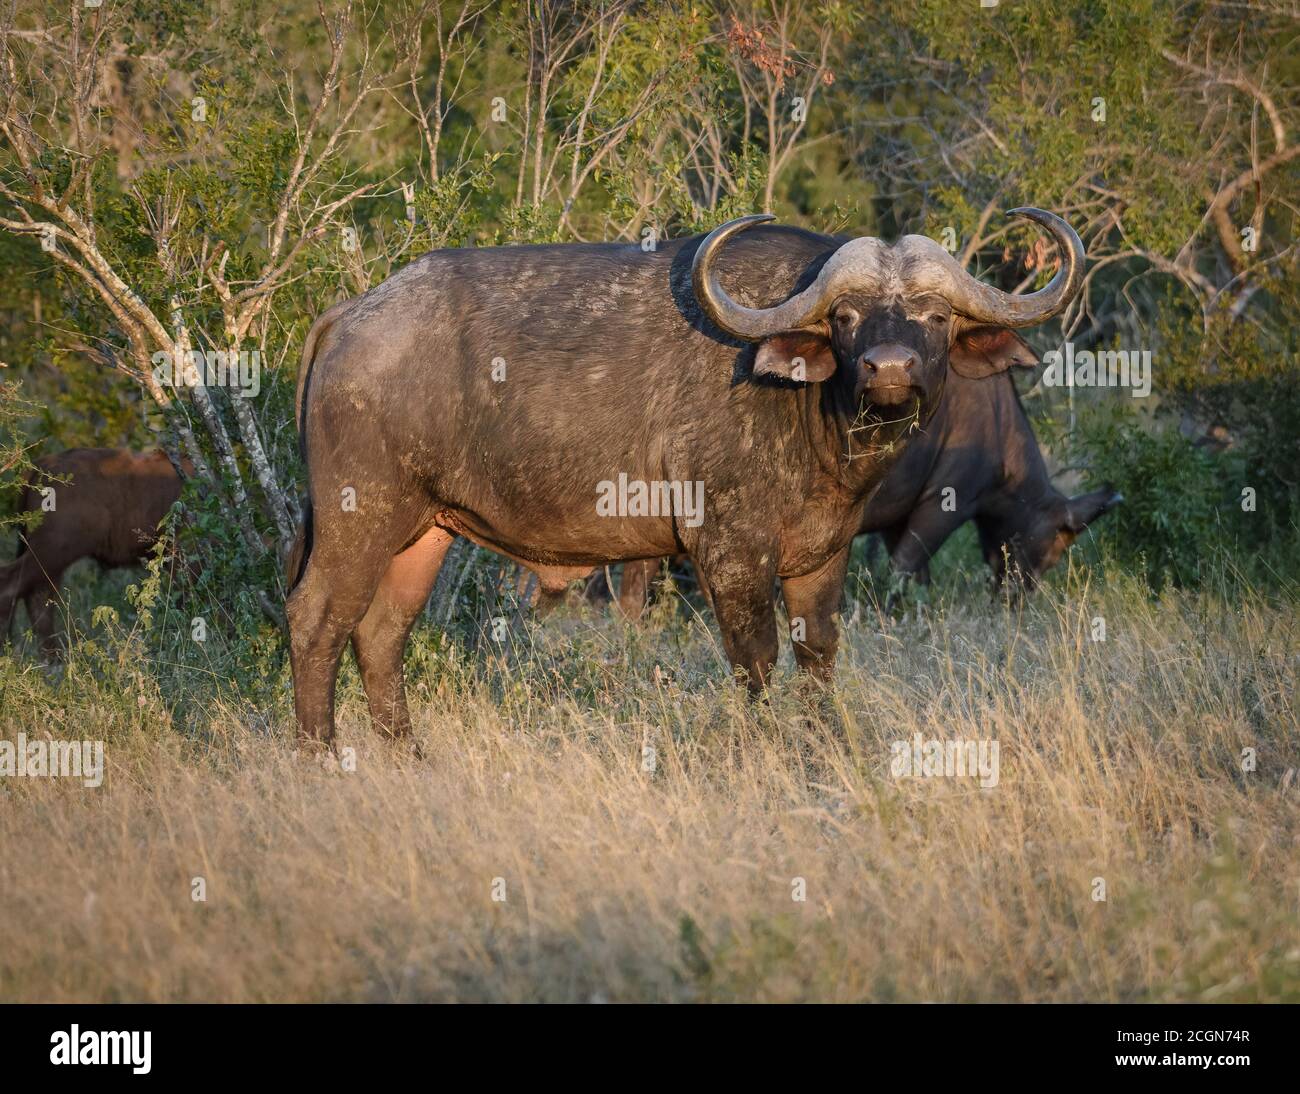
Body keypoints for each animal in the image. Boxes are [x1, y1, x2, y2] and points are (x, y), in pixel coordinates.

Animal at [288, 210, 1083, 746]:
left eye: (936, 316)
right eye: (848, 315)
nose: (889, 368)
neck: (813, 420)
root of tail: (350, 316)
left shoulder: (824, 554)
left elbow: (817, 654)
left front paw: (820, 749)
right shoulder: (728, 552)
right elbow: (755, 660)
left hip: (424, 533)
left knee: (381, 633)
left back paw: (407, 754)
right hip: (359, 518)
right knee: (317, 620)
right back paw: (322, 755)